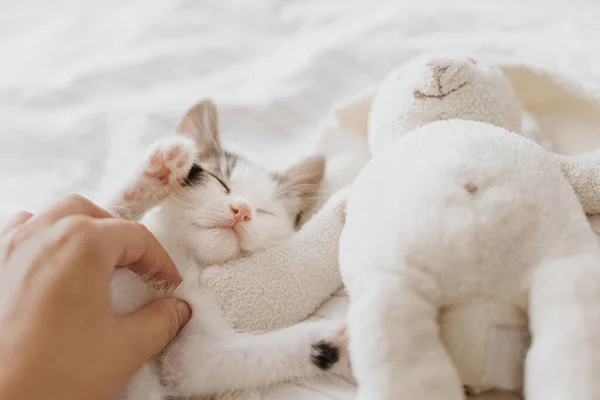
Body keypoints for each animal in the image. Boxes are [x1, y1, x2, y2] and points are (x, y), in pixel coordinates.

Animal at [108, 100, 352, 400]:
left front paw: (344, 346)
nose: (242, 210)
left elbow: (204, 365)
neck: (185, 260)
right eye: (221, 182)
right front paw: (159, 171)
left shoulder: (193, 354)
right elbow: (107, 217)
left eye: (264, 211)